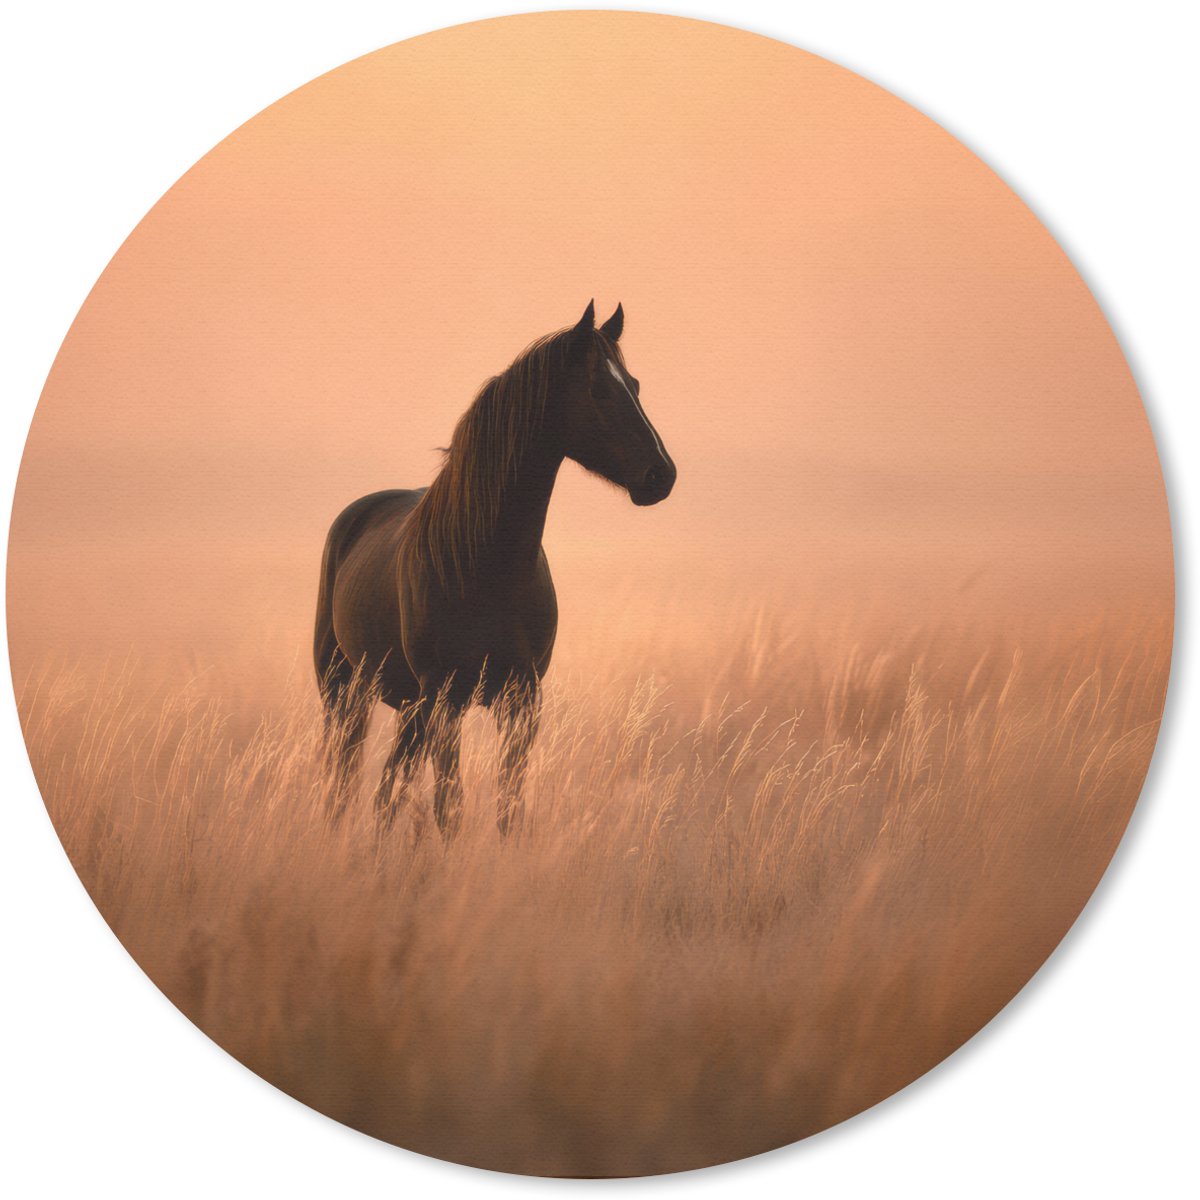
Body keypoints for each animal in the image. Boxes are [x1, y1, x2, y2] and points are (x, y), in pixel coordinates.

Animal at [313, 301, 676, 838]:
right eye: (599, 389)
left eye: (633, 384)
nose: (661, 474)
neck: (487, 565)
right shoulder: (445, 699)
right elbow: (450, 807)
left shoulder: (521, 699)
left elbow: (508, 807)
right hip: (347, 692)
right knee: (346, 785)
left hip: (407, 706)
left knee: (386, 792)